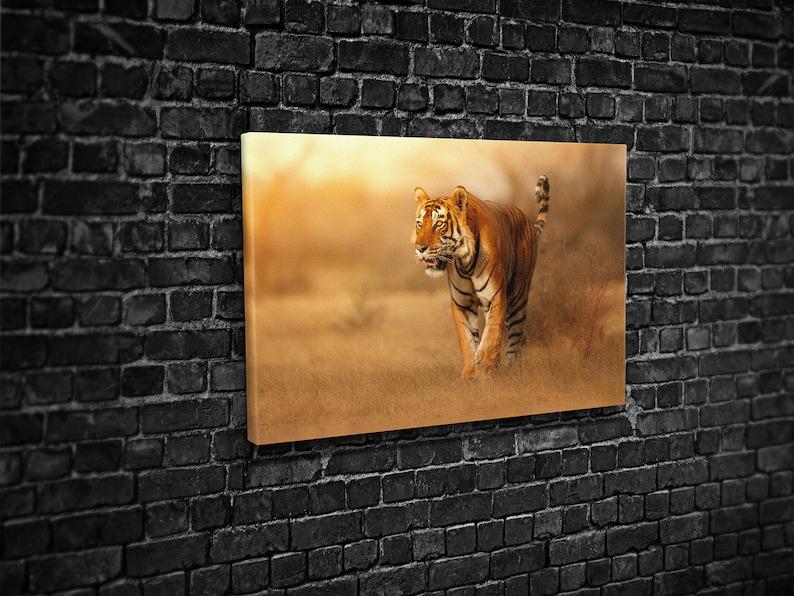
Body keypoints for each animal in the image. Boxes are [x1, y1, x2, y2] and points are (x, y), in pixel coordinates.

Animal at [412, 176, 551, 380]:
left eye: (439, 224)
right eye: (420, 224)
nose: (420, 248)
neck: (464, 262)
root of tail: (527, 221)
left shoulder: (495, 296)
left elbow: (491, 334)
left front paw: (485, 366)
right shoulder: (462, 303)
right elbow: (467, 339)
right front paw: (471, 372)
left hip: (518, 298)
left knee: (515, 337)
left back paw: (510, 369)